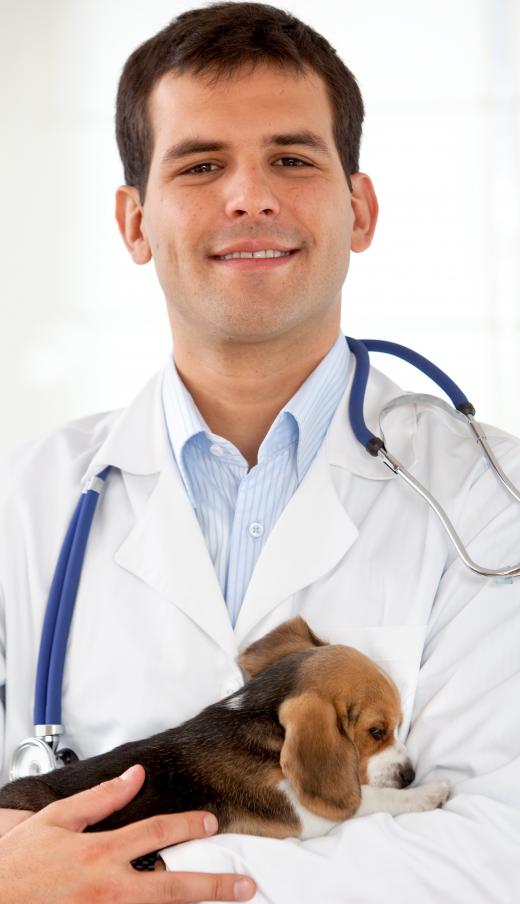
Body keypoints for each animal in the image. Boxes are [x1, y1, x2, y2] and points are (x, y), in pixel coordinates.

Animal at [0, 616, 448, 840]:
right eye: (377, 732)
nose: (410, 774)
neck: (254, 717)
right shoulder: (303, 814)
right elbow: (368, 799)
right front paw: (428, 793)